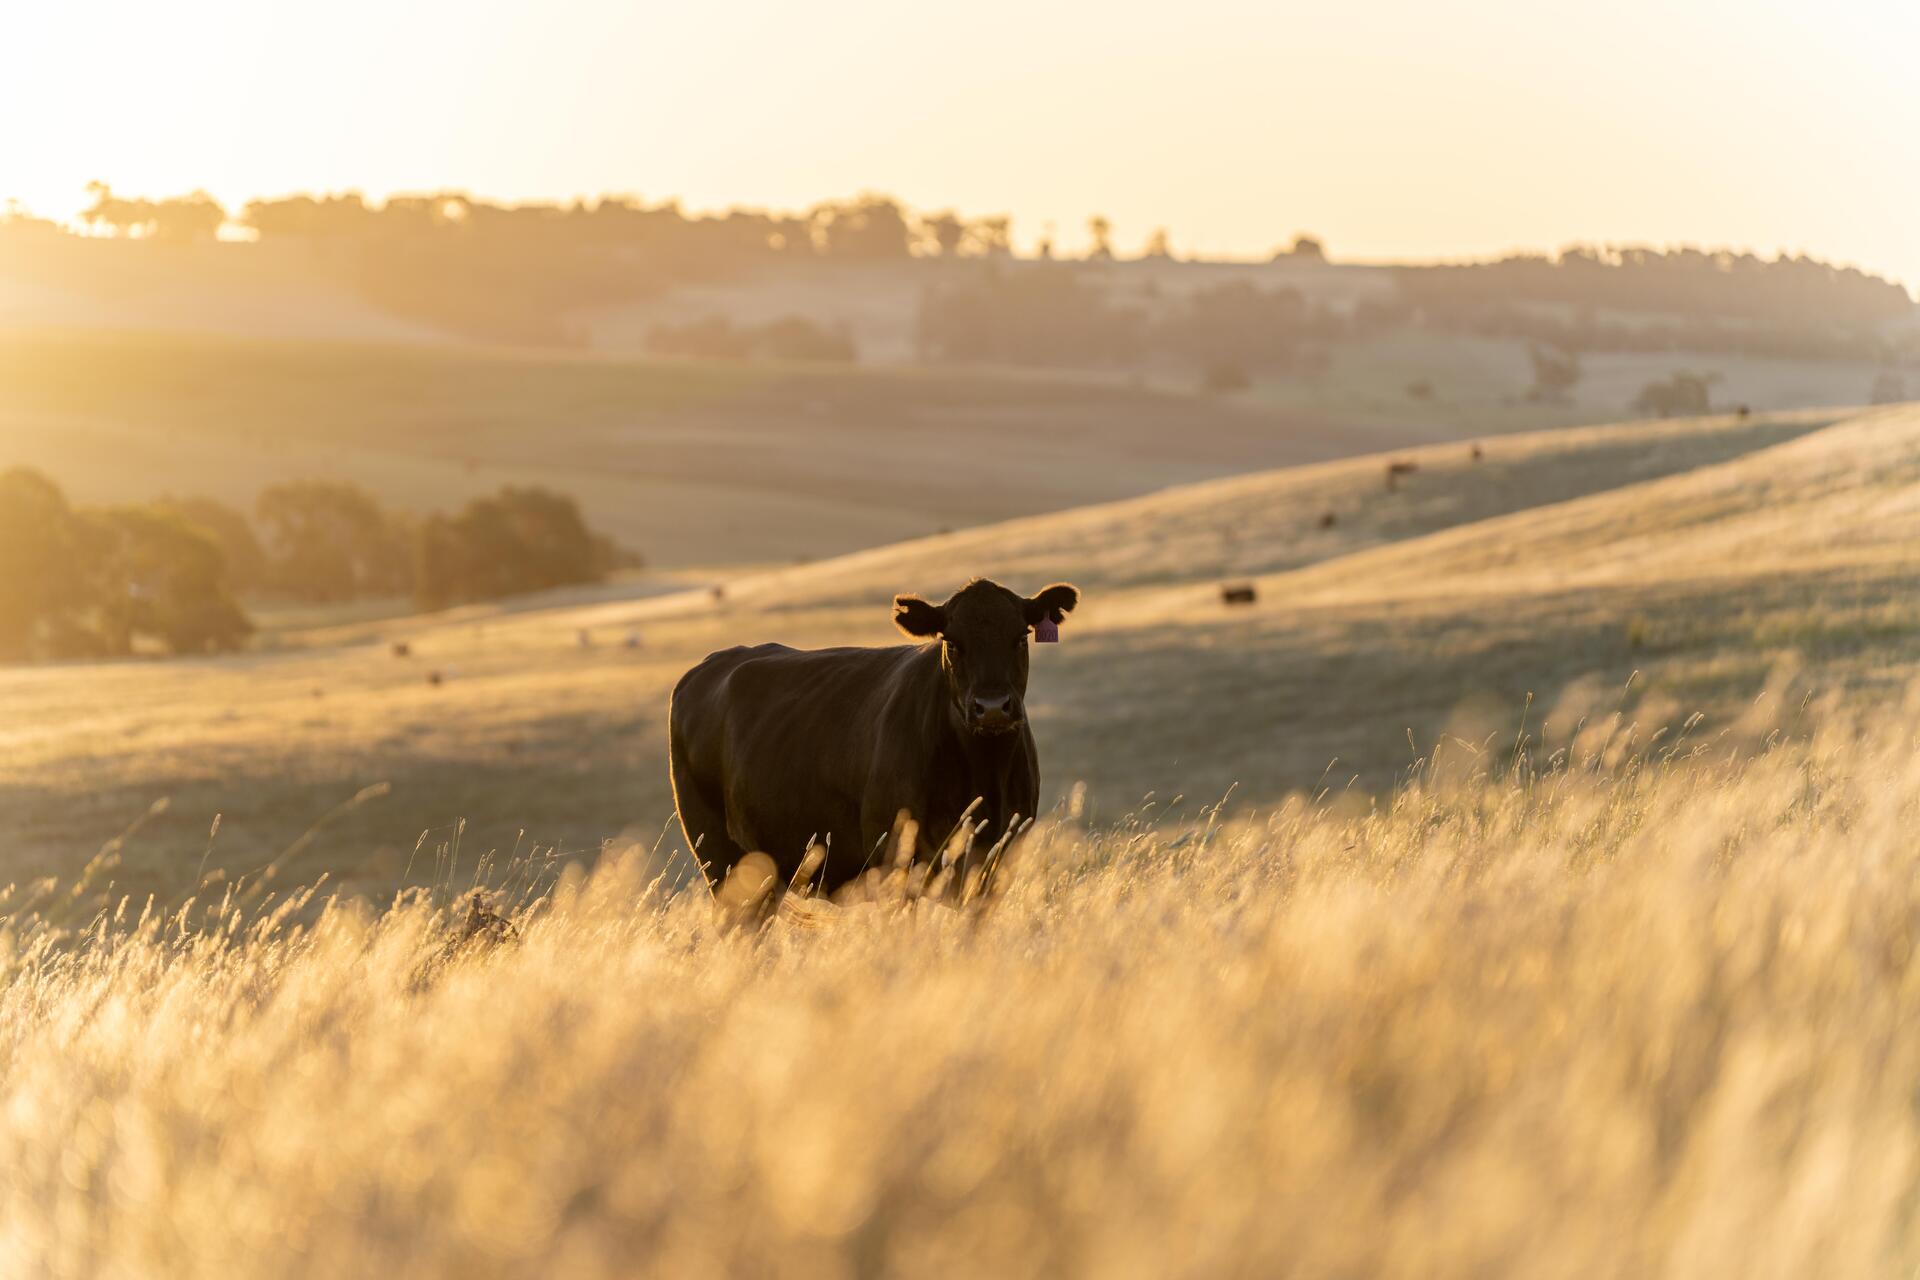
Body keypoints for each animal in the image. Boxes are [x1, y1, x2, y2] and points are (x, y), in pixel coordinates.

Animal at [668, 578, 1079, 900]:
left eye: (1021, 637)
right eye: (952, 641)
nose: (992, 707)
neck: (983, 773)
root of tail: (710, 664)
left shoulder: (997, 861)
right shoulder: (894, 857)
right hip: (719, 859)